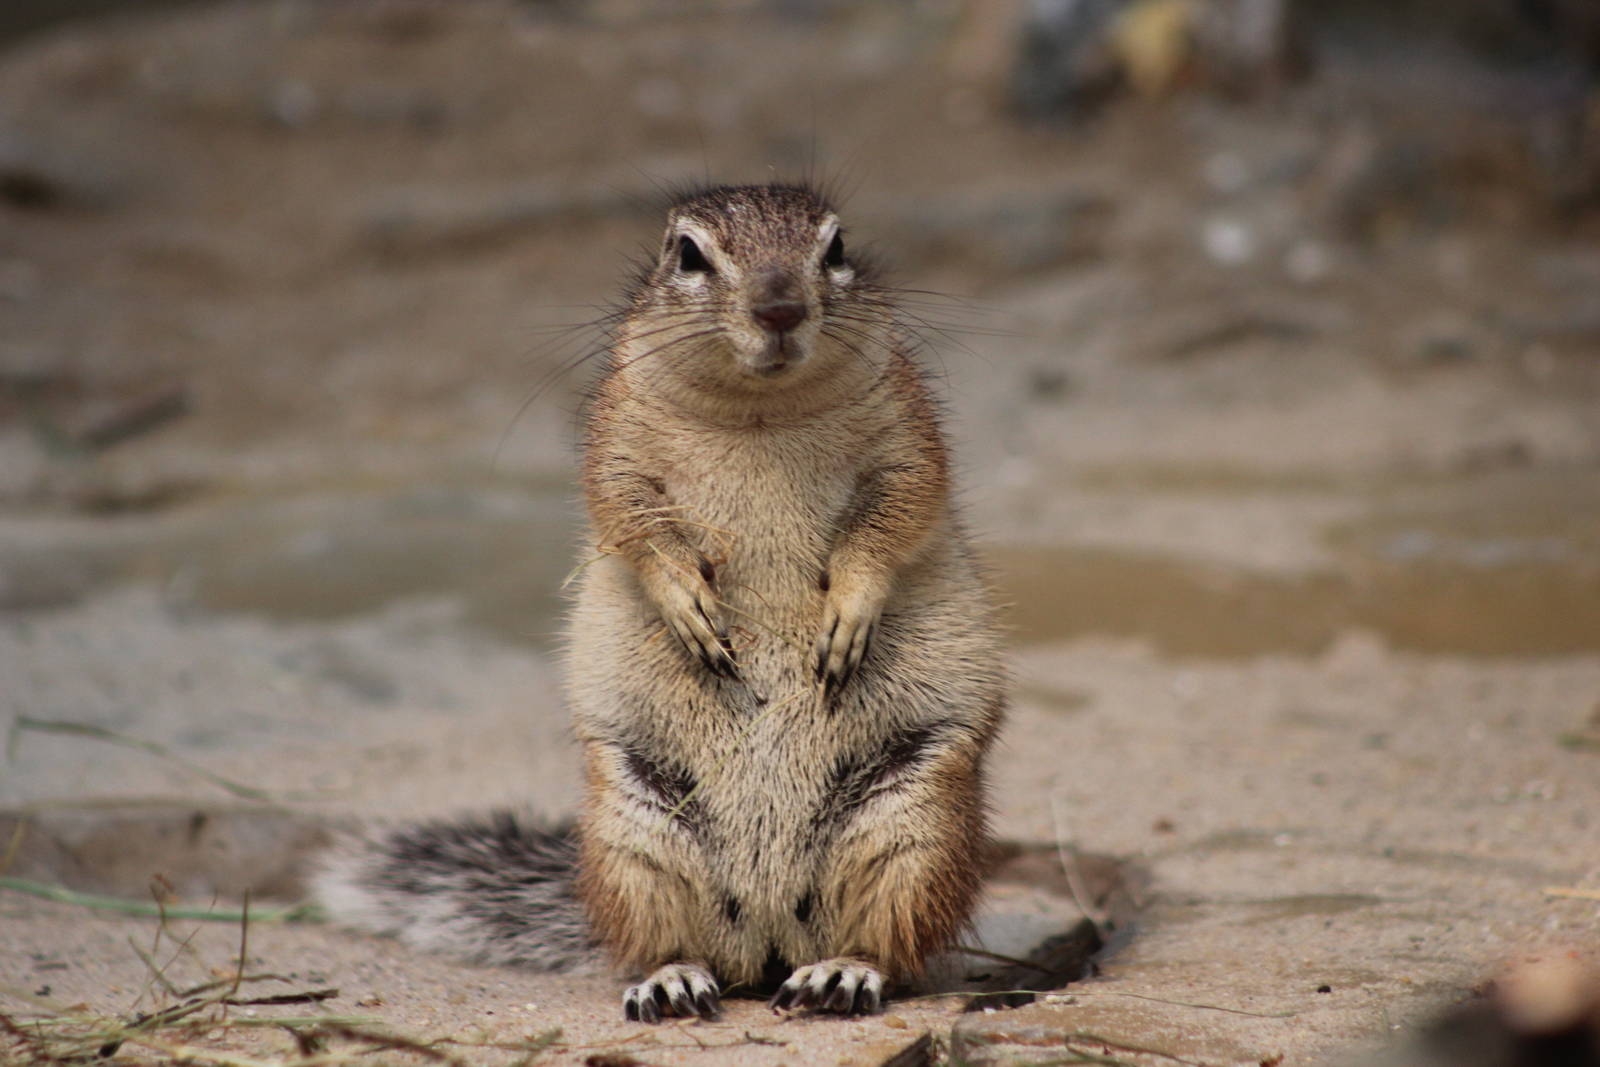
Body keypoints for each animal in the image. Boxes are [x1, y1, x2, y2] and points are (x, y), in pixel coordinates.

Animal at [312, 183, 1006, 1022]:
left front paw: (847, 613)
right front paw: (688, 606)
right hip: (634, 833)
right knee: (670, 943)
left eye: (837, 247)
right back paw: (672, 980)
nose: (780, 307)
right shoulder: (618, 439)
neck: (761, 412)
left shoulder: (906, 432)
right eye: (688, 254)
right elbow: (631, 519)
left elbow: (894, 515)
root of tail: (771, 936)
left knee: (892, 943)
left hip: (915, 824)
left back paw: (840, 972)